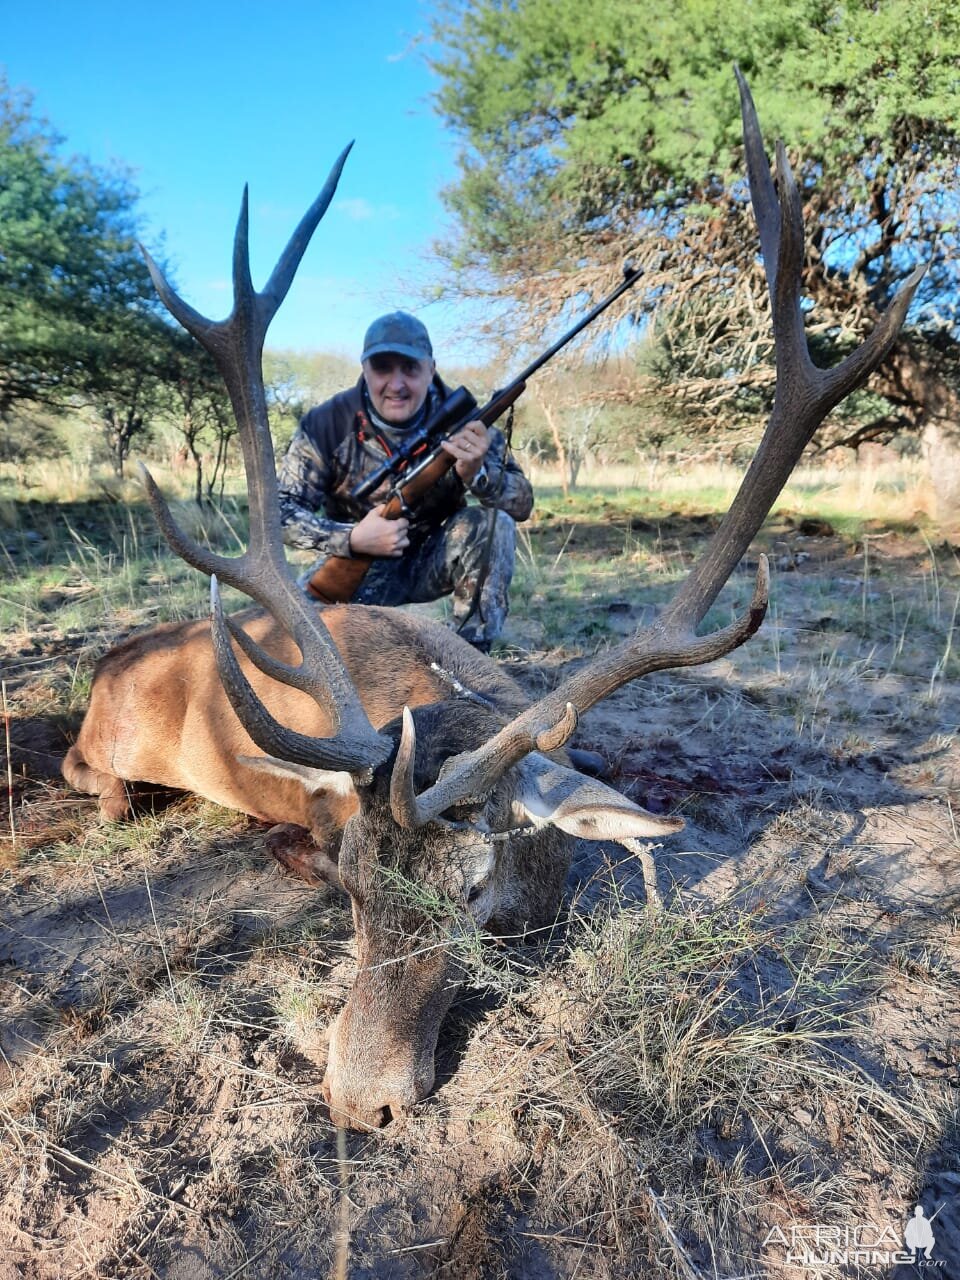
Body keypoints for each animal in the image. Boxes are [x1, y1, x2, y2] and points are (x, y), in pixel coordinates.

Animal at [62, 72, 926, 1131]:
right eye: (353, 886)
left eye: (472, 894)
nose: (360, 1102)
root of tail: (109, 662)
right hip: (114, 739)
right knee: (86, 772)